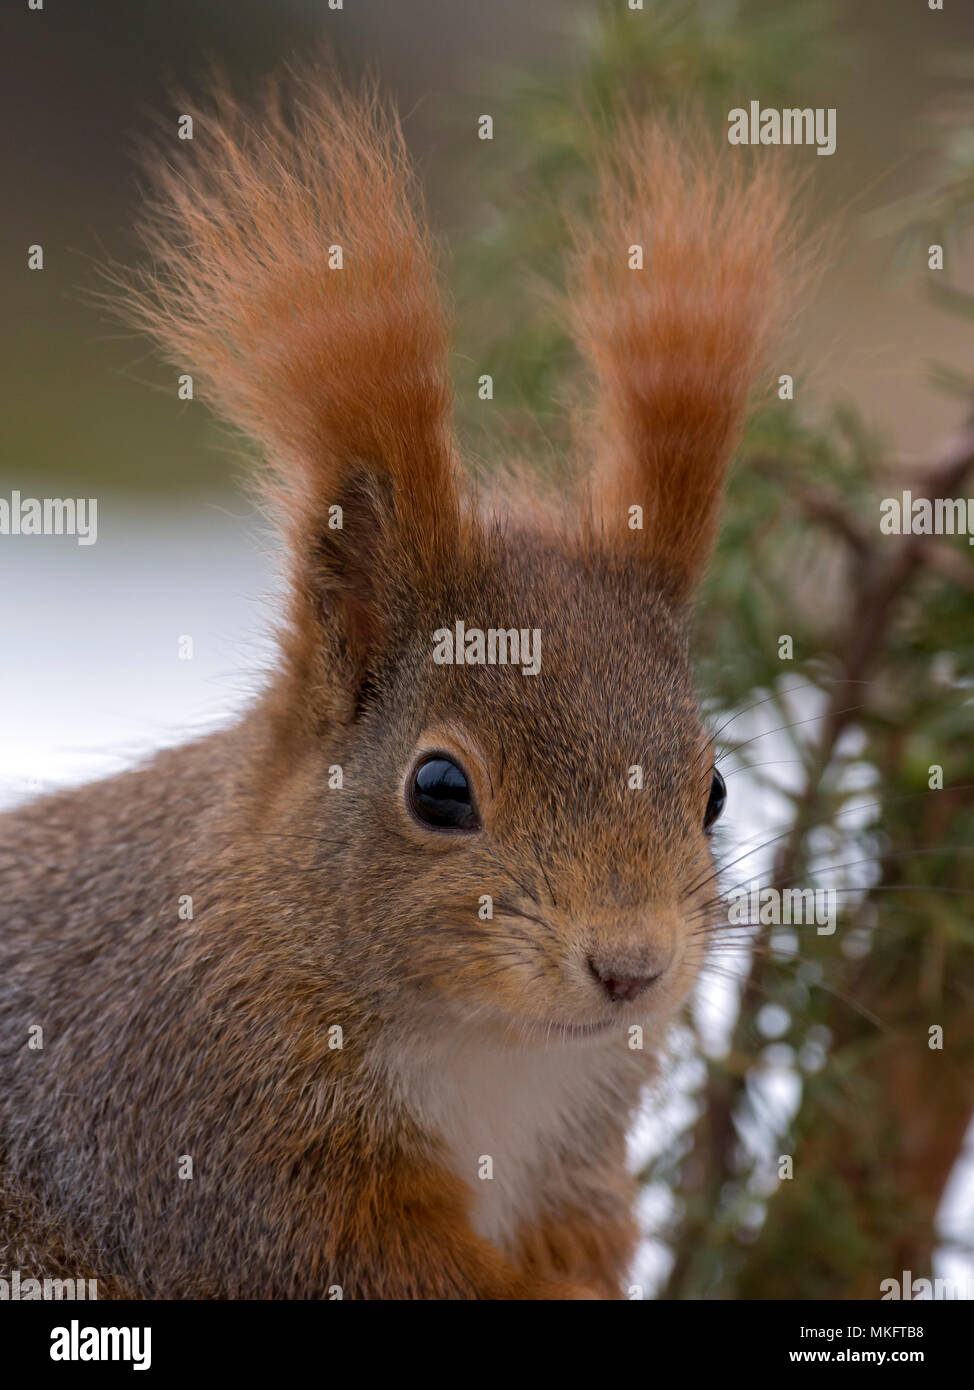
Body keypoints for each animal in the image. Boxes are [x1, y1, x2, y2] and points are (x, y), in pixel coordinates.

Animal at [0, 72, 796, 1299]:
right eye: (438, 789)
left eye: (713, 792)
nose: (632, 968)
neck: (491, 1055)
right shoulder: (209, 1145)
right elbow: (371, 1264)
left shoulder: (572, 1167)